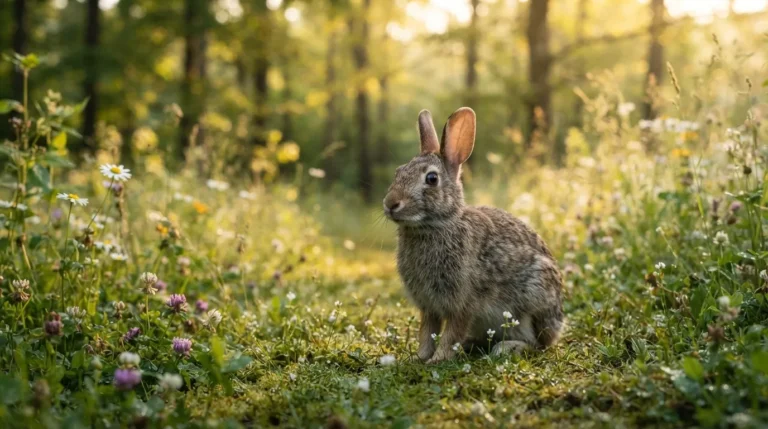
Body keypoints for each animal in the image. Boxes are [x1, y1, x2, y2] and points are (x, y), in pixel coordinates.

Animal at [383, 107, 564, 363]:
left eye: (431, 179)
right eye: (398, 172)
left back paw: (507, 348)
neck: (434, 226)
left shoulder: (464, 302)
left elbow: (452, 331)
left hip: (533, 300)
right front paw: (420, 358)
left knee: (537, 343)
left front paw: (438, 359)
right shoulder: (428, 305)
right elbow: (428, 331)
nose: (390, 204)